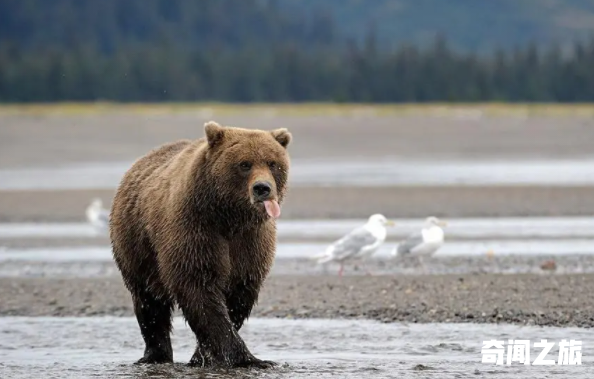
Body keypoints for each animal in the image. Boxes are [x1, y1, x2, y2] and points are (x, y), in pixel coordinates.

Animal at [109, 121, 292, 368]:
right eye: (244, 164)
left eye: (273, 163)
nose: (262, 188)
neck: (229, 217)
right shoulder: (195, 229)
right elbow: (199, 288)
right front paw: (246, 358)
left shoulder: (251, 242)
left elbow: (238, 295)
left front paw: (203, 356)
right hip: (136, 243)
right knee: (148, 300)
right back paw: (155, 355)